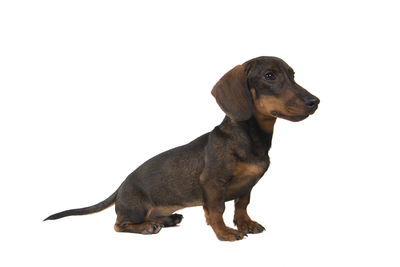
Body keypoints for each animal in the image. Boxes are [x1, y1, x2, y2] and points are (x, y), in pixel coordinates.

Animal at [44, 57, 318, 243]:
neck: (250, 138)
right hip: (135, 208)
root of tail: (120, 186)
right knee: (119, 224)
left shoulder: (248, 186)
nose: (315, 102)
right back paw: (147, 226)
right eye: (270, 76)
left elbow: (242, 205)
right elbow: (217, 210)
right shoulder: (212, 183)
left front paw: (245, 224)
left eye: (293, 75)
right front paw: (224, 232)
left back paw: (167, 219)